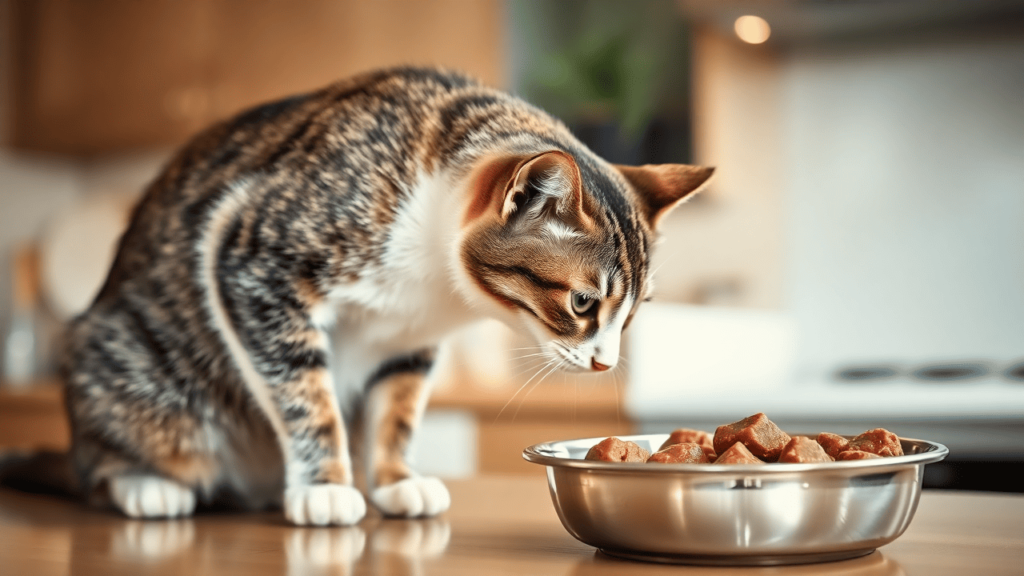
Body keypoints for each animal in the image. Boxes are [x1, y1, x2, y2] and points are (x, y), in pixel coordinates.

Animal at [56, 65, 712, 522]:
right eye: (582, 303)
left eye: (634, 313)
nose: (606, 363)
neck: (434, 284)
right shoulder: (251, 257)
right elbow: (302, 390)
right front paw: (325, 485)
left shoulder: (412, 337)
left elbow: (397, 406)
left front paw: (396, 479)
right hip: (127, 364)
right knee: (109, 453)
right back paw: (146, 485)